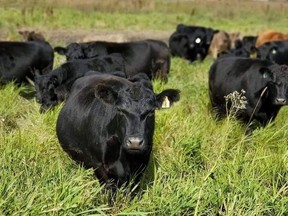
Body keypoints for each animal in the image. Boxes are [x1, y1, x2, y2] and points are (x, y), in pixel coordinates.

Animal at [56, 73, 180, 201]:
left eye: (151, 111)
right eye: (120, 110)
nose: (134, 142)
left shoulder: (141, 166)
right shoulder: (99, 166)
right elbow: (109, 192)